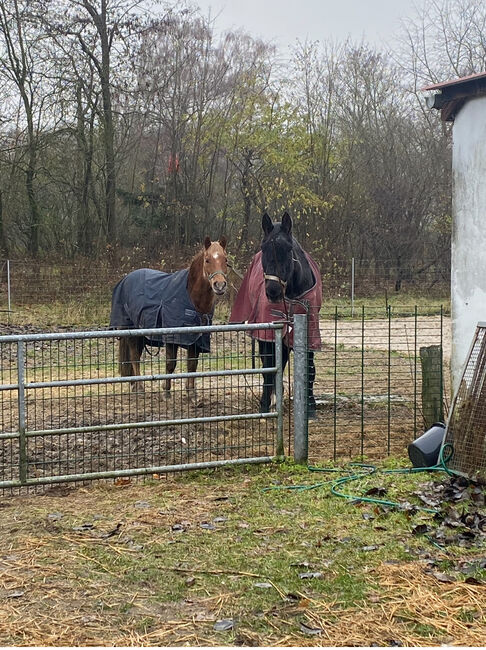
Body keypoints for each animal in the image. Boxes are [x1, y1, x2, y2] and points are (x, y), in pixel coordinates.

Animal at [111, 237, 229, 392]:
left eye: (226, 259)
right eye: (207, 260)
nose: (220, 285)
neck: (190, 297)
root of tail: (125, 279)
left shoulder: (196, 339)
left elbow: (192, 365)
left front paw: (191, 392)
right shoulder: (172, 337)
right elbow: (170, 364)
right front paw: (166, 389)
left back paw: (134, 384)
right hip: (131, 332)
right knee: (134, 356)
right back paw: (140, 387)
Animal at [229, 213, 320, 416]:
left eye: (287, 248)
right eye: (264, 247)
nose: (273, 291)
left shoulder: (309, 331)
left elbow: (309, 368)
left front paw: (310, 407)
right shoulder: (269, 334)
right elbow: (269, 368)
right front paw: (264, 404)